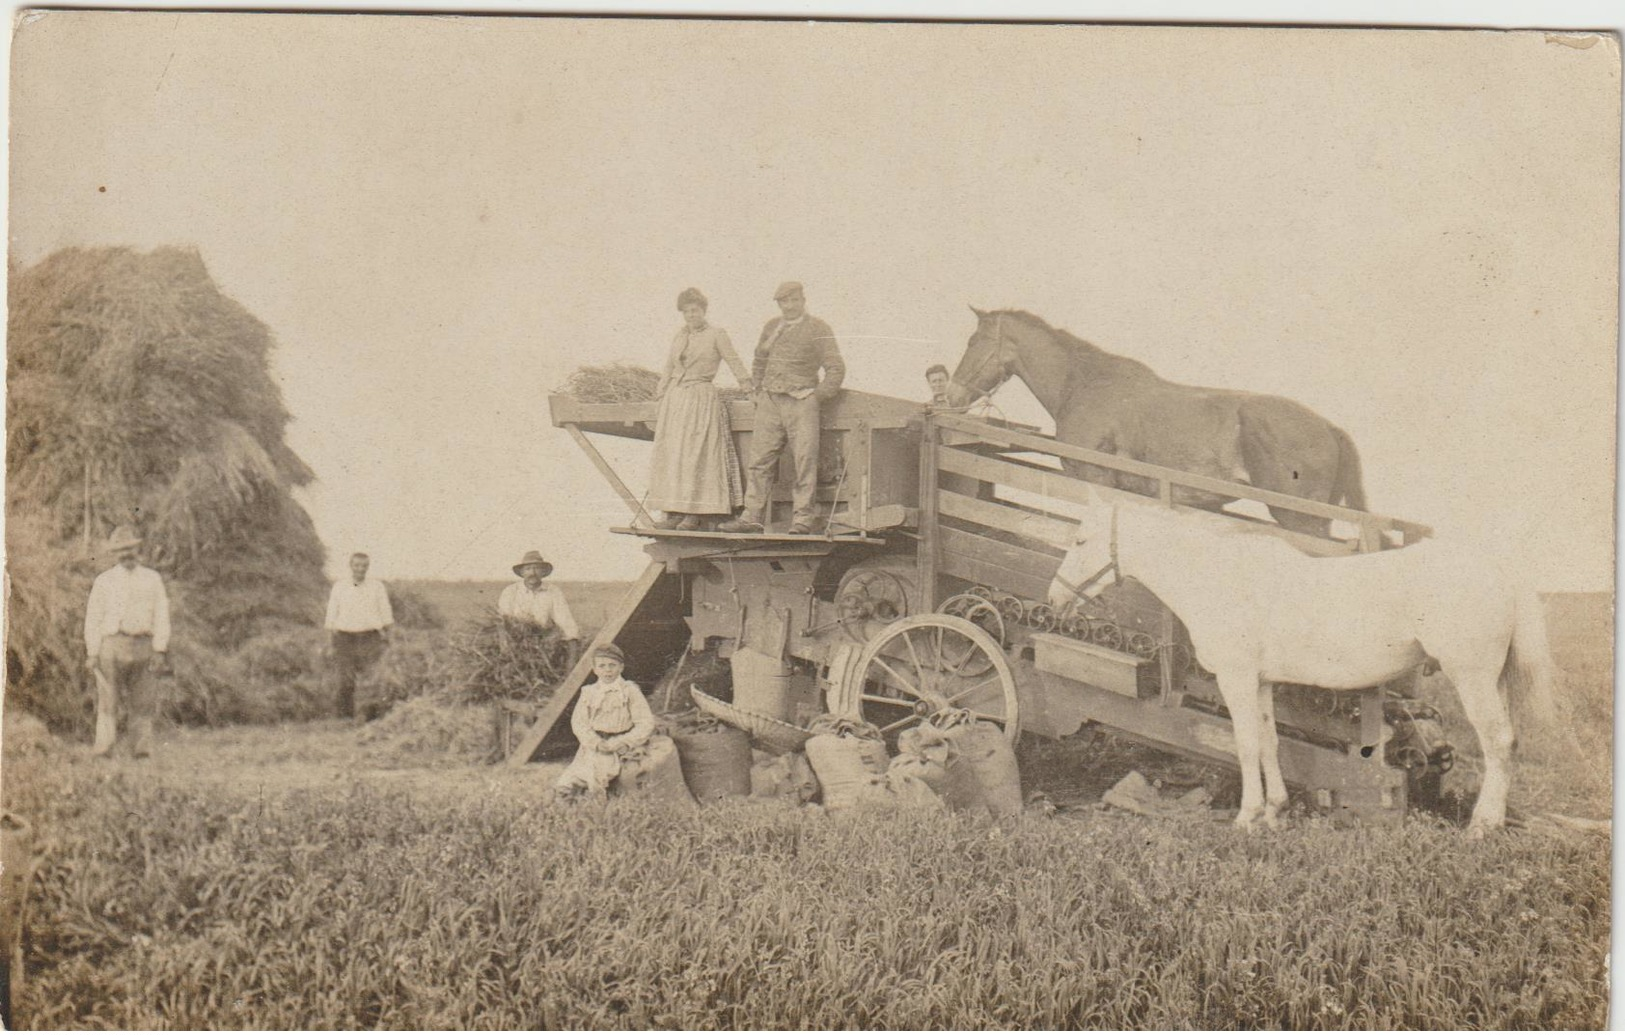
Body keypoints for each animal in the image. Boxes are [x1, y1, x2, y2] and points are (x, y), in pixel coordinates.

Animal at [949, 305, 1365, 532]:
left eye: (972, 342)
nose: (951, 395)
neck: (1085, 384)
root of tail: (1330, 429)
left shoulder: (1099, 482)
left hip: (1300, 520)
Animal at [1046, 487, 1553, 838]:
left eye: (1080, 539)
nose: (1054, 599)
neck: (1218, 577)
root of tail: (1499, 569)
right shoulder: (1261, 682)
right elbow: (1269, 742)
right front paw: (1275, 811)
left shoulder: (1236, 677)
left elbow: (1245, 745)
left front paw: (1247, 817)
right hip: (1494, 679)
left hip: (1472, 678)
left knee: (1498, 743)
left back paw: (1482, 827)